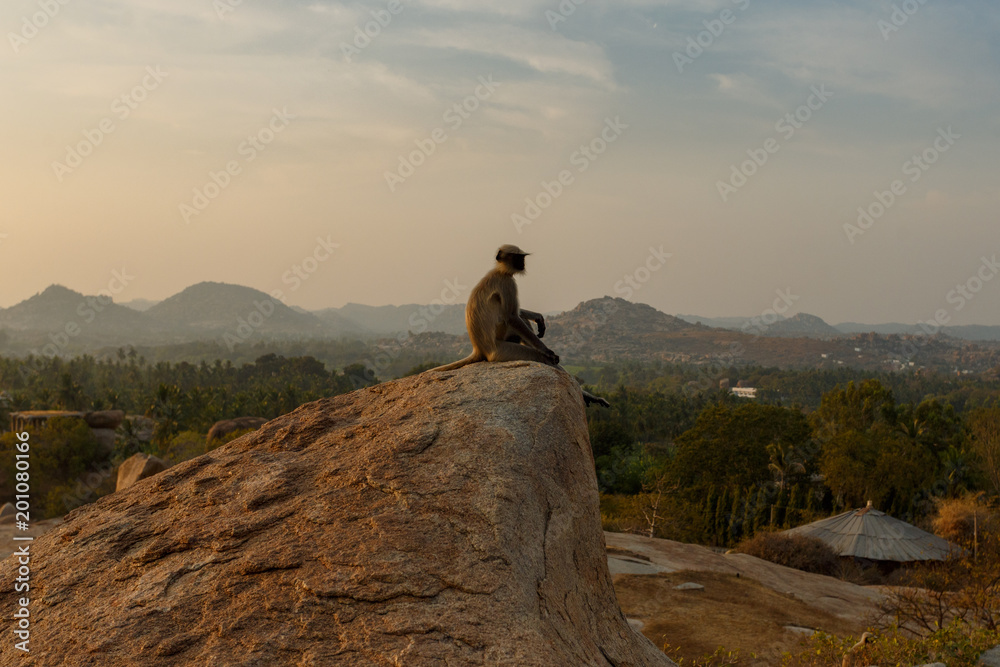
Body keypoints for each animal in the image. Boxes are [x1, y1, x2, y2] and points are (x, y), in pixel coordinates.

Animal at [430, 245, 608, 410]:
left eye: (522, 257)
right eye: (516, 257)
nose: (522, 263)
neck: (500, 271)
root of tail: (479, 348)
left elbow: (517, 314)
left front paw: (538, 317)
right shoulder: (507, 283)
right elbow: (511, 316)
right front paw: (548, 351)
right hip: (502, 350)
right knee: (534, 351)